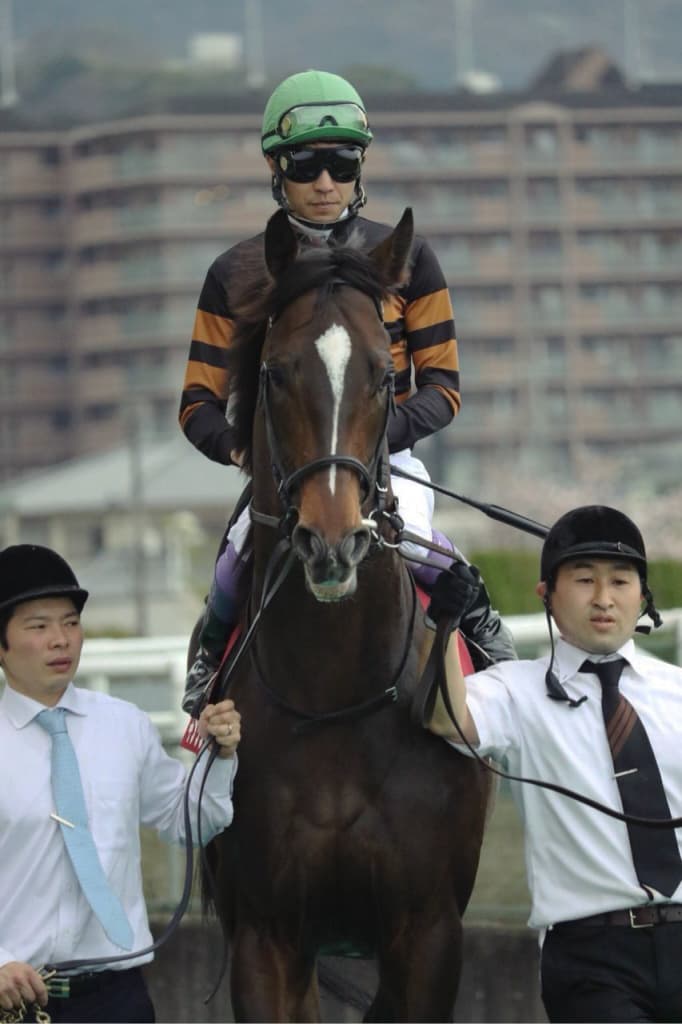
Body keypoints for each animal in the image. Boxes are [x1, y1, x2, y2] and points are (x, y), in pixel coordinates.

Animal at [197, 207, 491, 1022]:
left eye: (385, 374)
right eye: (274, 372)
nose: (331, 541)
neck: (334, 698)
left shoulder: (427, 931)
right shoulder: (266, 936)